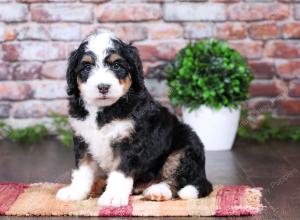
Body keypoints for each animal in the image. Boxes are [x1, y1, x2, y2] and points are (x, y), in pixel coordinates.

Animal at [55, 31, 212, 207]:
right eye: (87, 67)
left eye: (117, 66)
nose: (103, 87)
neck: (104, 110)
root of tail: (203, 175)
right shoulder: (82, 138)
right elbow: (82, 169)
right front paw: (75, 191)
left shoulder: (130, 142)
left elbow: (120, 171)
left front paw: (113, 196)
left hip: (186, 145)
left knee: (176, 176)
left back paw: (158, 191)